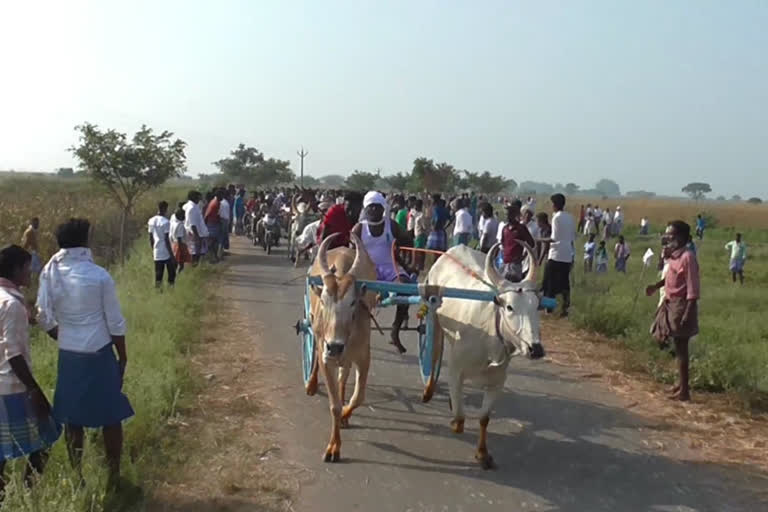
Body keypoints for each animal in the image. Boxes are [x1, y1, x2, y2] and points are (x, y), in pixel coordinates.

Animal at [426, 242, 544, 470]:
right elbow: (460, 421)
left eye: (536, 306)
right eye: (509, 307)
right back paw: (428, 390)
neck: (489, 337)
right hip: (434, 317)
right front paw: (454, 421)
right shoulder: (456, 370)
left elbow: (484, 418)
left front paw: (482, 453)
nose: (536, 349)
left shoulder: (497, 382)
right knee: (434, 355)